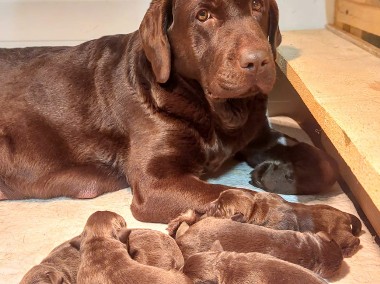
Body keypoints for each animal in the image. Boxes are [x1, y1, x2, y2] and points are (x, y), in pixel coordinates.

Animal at [200, 189, 360, 258]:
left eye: (219, 208)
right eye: (217, 198)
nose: (205, 207)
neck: (255, 208)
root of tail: (346, 214)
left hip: (339, 234)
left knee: (355, 240)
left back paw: (348, 251)